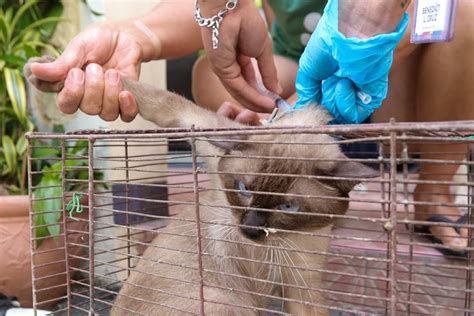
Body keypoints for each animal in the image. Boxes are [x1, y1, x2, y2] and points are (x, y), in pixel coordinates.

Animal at [24, 57, 378, 316]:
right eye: (243, 188)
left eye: (287, 207)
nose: (250, 229)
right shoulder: (196, 125)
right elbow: (148, 94)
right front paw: (43, 71)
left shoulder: (301, 279)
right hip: (228, 302)